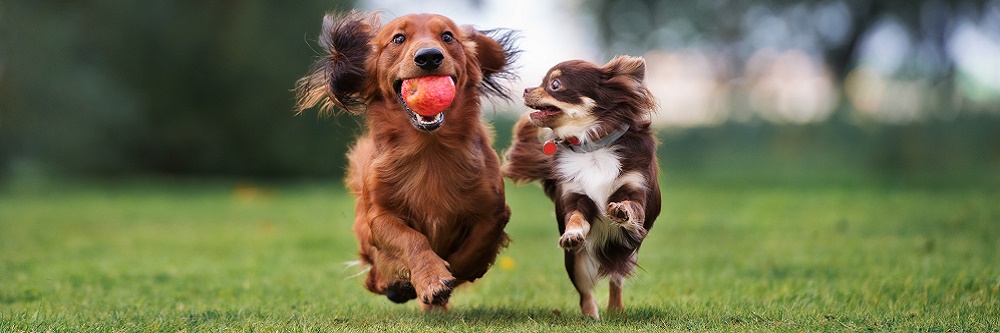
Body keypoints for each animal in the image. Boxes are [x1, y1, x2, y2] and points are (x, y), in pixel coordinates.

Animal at [294, 11, 516, 312]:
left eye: (448, 36)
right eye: (398, 38)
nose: (429, 57)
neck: (429, 150)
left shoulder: (493, 211)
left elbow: (474, 248)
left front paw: (451, 274)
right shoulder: (380, 217)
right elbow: (412, 240)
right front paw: (431, 278)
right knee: (373, 276)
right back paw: (396, 285)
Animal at [504, 55, 660, 318]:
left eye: (555, 85)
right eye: (542, 82)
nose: (526, 89)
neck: (591, 146)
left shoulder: (636, 190)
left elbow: (631, 206)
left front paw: (621, 210)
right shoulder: (575, 197)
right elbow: (576, 218)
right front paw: (573, 234)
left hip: (626, 252)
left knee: (615, 280)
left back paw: (615, 310)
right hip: (576, 263)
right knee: (586, 293)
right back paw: (590, 317)